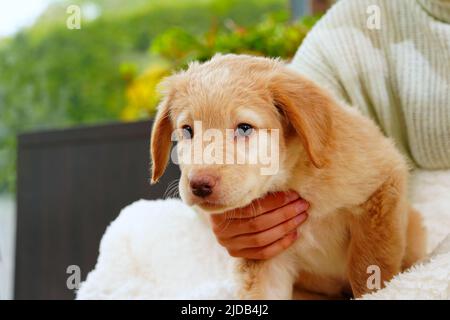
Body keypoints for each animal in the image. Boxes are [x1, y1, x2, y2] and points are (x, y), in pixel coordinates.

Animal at [150, 53, 426, 298]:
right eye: (187, 130)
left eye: (244, 128)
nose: (199, 185)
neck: (291, 178)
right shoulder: (265, 254)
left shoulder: (381, 189)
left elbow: (369, 266)